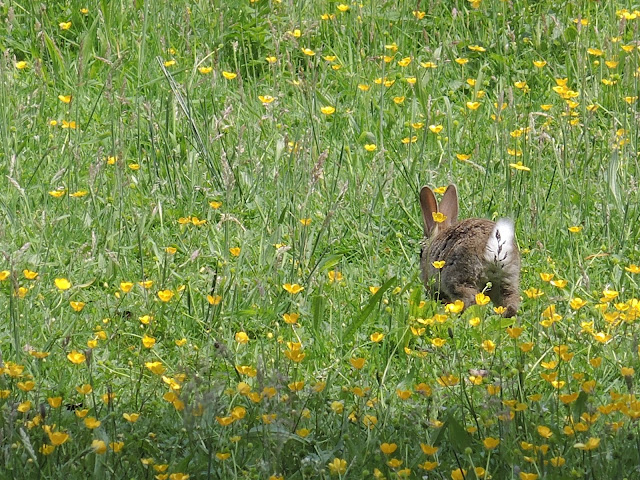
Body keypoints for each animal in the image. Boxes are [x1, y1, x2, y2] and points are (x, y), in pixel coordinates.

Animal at [420, 186, 520, 316]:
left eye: (420, 253)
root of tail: (496, 246)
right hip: (507, 280)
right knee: (511, 304)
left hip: (460, 277)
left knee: (469, 299)